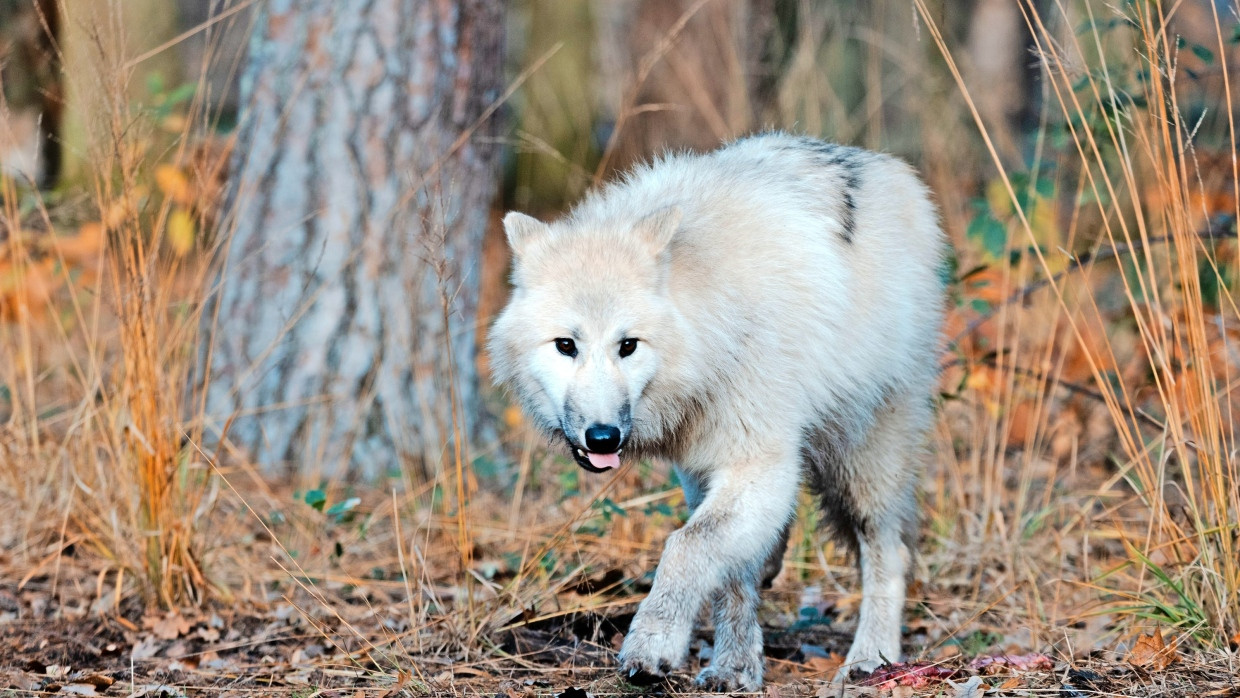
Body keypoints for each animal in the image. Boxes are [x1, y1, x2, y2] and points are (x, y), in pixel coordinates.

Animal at [488, 133, 942, 689]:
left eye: (628, 345)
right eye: (566, 345)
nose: (603, 438)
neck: (711, 321)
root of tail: (889, 168)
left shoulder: (757, 460)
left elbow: (686, 547)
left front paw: (653, 644)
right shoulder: (701, 469)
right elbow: (730, 573)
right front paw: (735, 665)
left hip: (866, 461)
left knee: (889, 551)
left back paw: (871, 657)